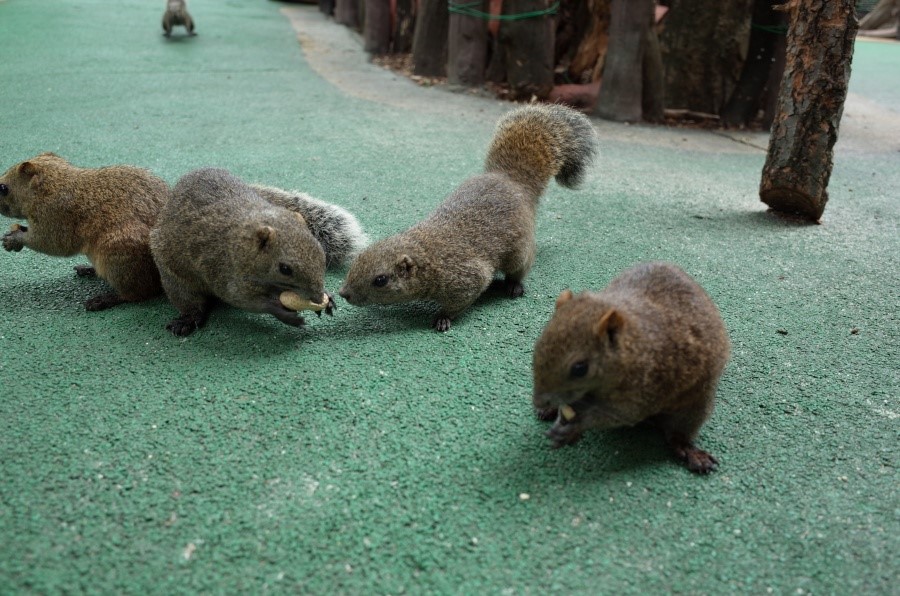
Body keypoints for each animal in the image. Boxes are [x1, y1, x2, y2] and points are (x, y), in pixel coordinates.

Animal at [0, 151, 169, 310]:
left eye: (3, 188)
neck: (53, 183)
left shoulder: (55, 216)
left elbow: (49, 242)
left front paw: (14, 239)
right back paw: (89, 270)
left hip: (119, 256)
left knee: (140, 292)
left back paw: (104, 299)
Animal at [149, 168, 368, 336]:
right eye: (285, 269)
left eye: (321, 255)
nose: (316, 297)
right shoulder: (221, 271)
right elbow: (244, 300)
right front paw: (283, 314)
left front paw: (328, 297)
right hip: (175, 280)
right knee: (189, 302)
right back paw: (187, 319)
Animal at [338, 104, 596, 332]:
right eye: (357, 260)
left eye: (380, 280)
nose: (343, 293)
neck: (428, 253)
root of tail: (512, 181)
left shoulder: (465, 278)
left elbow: (461, 300)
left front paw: (443, 318)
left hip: (519, 252)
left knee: (520, 267)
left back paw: (514, 285)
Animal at [528, 264, 732, 472]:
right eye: (537, 346)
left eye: (580, 368)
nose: (538, 401)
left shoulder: (647, 385)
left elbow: (621, 415)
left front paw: (576, 426)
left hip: (694, 405)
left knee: (678, 433)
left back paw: (689, 450)